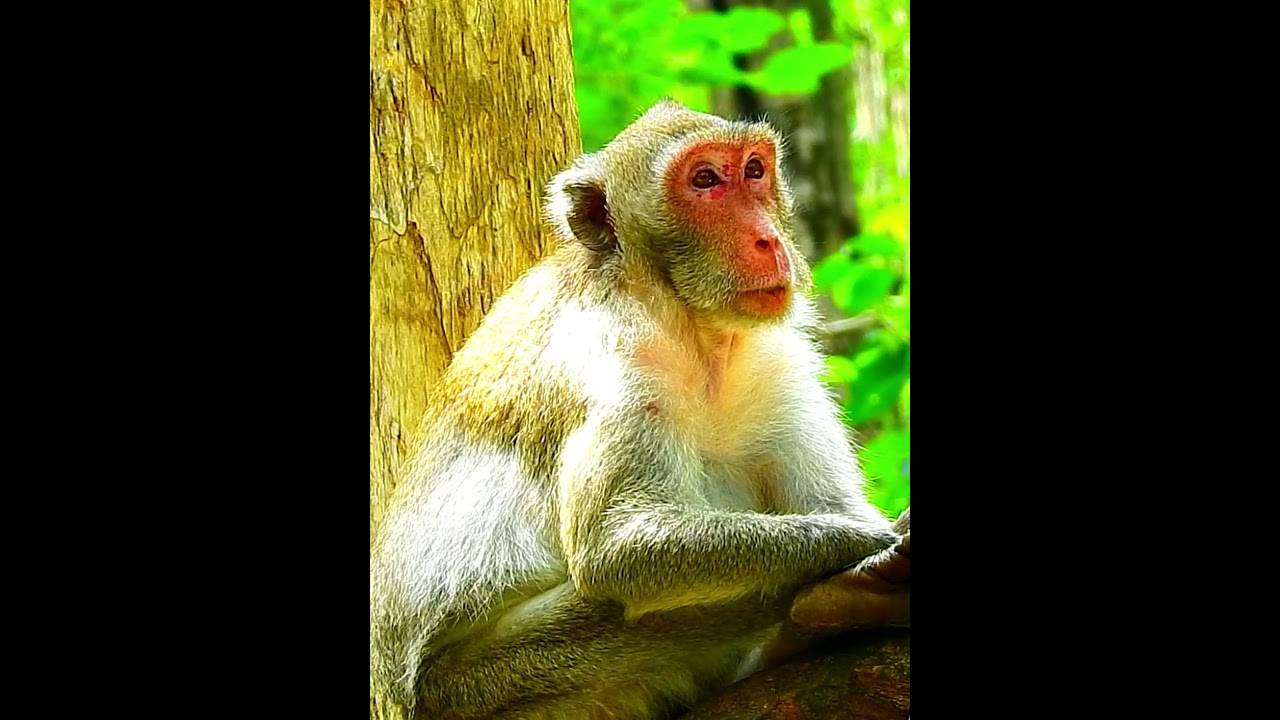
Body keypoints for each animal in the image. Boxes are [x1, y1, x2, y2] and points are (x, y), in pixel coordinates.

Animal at [370, 99, 904, 720]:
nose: (768, 240)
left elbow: (827, 500)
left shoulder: (779, 364)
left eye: (754, 170)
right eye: (704, 180)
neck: (692, 325)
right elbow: (617, 547)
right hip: (479, 687)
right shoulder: (617, 358)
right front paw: (869, 547)